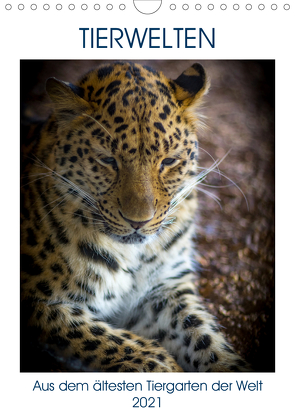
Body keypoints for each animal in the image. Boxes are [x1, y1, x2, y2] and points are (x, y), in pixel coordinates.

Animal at [21, 61, 252, 370]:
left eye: (168, 161)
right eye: (108, 160)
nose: (138, 222)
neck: (132, 256)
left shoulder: (164, 290)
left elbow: (204, 337)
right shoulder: (41, 303)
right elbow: (110, 340)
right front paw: (165, 367)